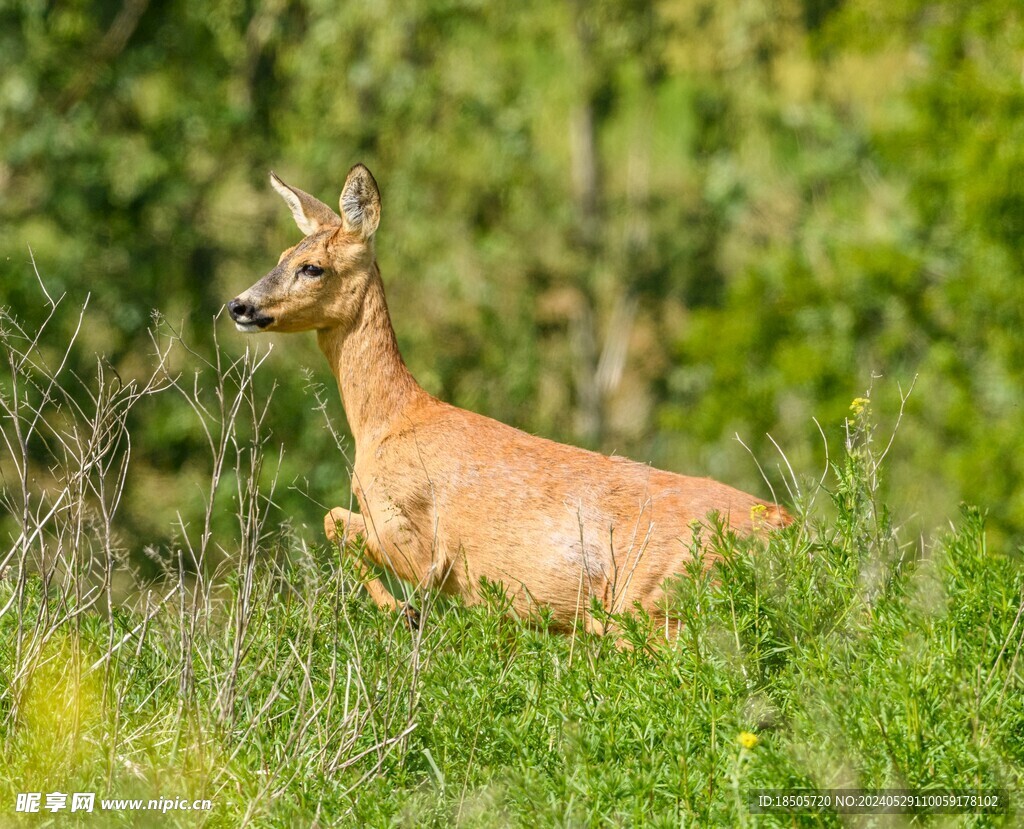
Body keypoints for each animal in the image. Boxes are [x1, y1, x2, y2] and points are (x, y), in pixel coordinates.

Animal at [230, 164, 790, 634]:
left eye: (312, 267)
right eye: (280, 257)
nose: (240, 305)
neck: (388, 422)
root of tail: (788, 529)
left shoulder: (418, 539)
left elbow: (335, 525)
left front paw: (404, 612)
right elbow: (332, 523)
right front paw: (402, 612)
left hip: (650, 603)